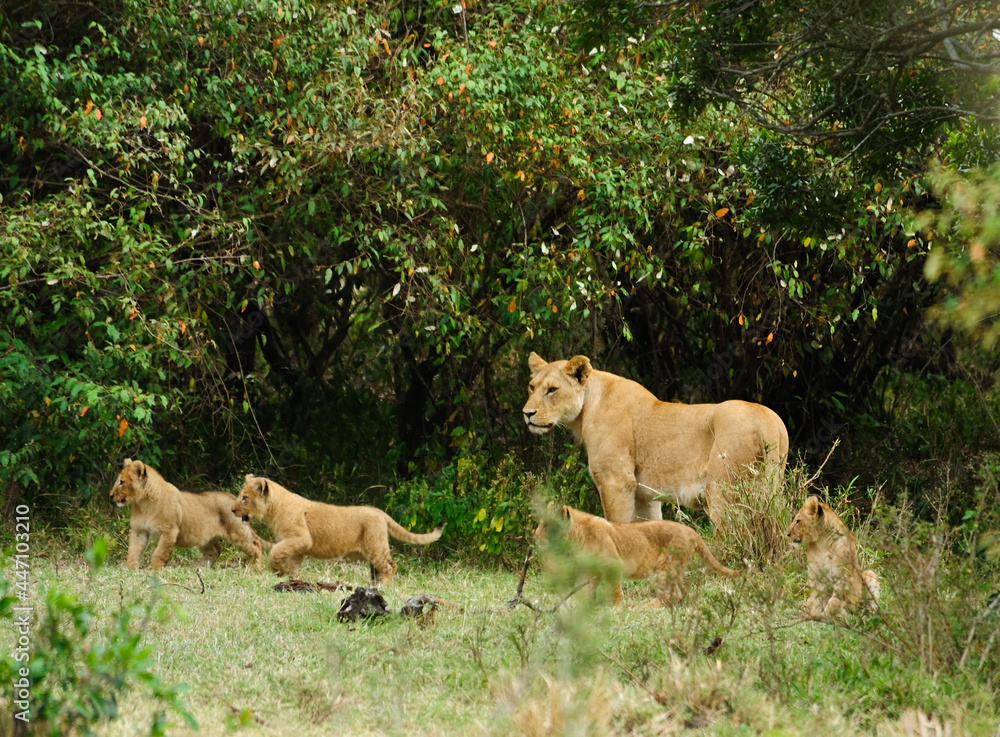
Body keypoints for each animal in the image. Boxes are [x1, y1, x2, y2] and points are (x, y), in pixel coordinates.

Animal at [110, 458, 265, 569]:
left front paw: (152, 568)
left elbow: (159, 552)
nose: (110, 495)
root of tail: (233, 498)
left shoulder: (169, 531)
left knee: (256, 545)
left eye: (121, 482)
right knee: (216, 550)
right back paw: (199, 567)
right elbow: (134, 549)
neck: (143, 504)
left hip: (237, 532)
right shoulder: (139, 530)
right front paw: (130, 566)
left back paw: (255, 568)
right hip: (204, 537)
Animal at [232, 475, 445, 583]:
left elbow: (276, 551)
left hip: (375, 546)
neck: (274, 509)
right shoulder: (298, 546)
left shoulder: (301, 538)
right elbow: (292, 563)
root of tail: (379, 511)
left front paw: (276, 569)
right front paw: (290, 577)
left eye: (244, 497)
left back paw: (382, 587)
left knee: (391, 566)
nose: (232, 510)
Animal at [522, 353, 788, 525]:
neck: (587, 406)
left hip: (722, 490)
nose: (527, 413)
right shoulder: (644, 493)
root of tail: (768, 421)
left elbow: (616, 524)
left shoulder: (615, 480)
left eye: (552, 390)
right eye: (531, 387)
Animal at [535, 504, 742, 605]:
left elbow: (614, 591)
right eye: (539, 524)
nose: (534, 535)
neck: (577, 537)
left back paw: (644, 608)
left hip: (666, 566)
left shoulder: (613, 565)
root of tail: (691, 531)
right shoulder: (589, 570)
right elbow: (585, 592)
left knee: (669, 595)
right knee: (681, 592)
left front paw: (616, 608)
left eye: (546, 526)